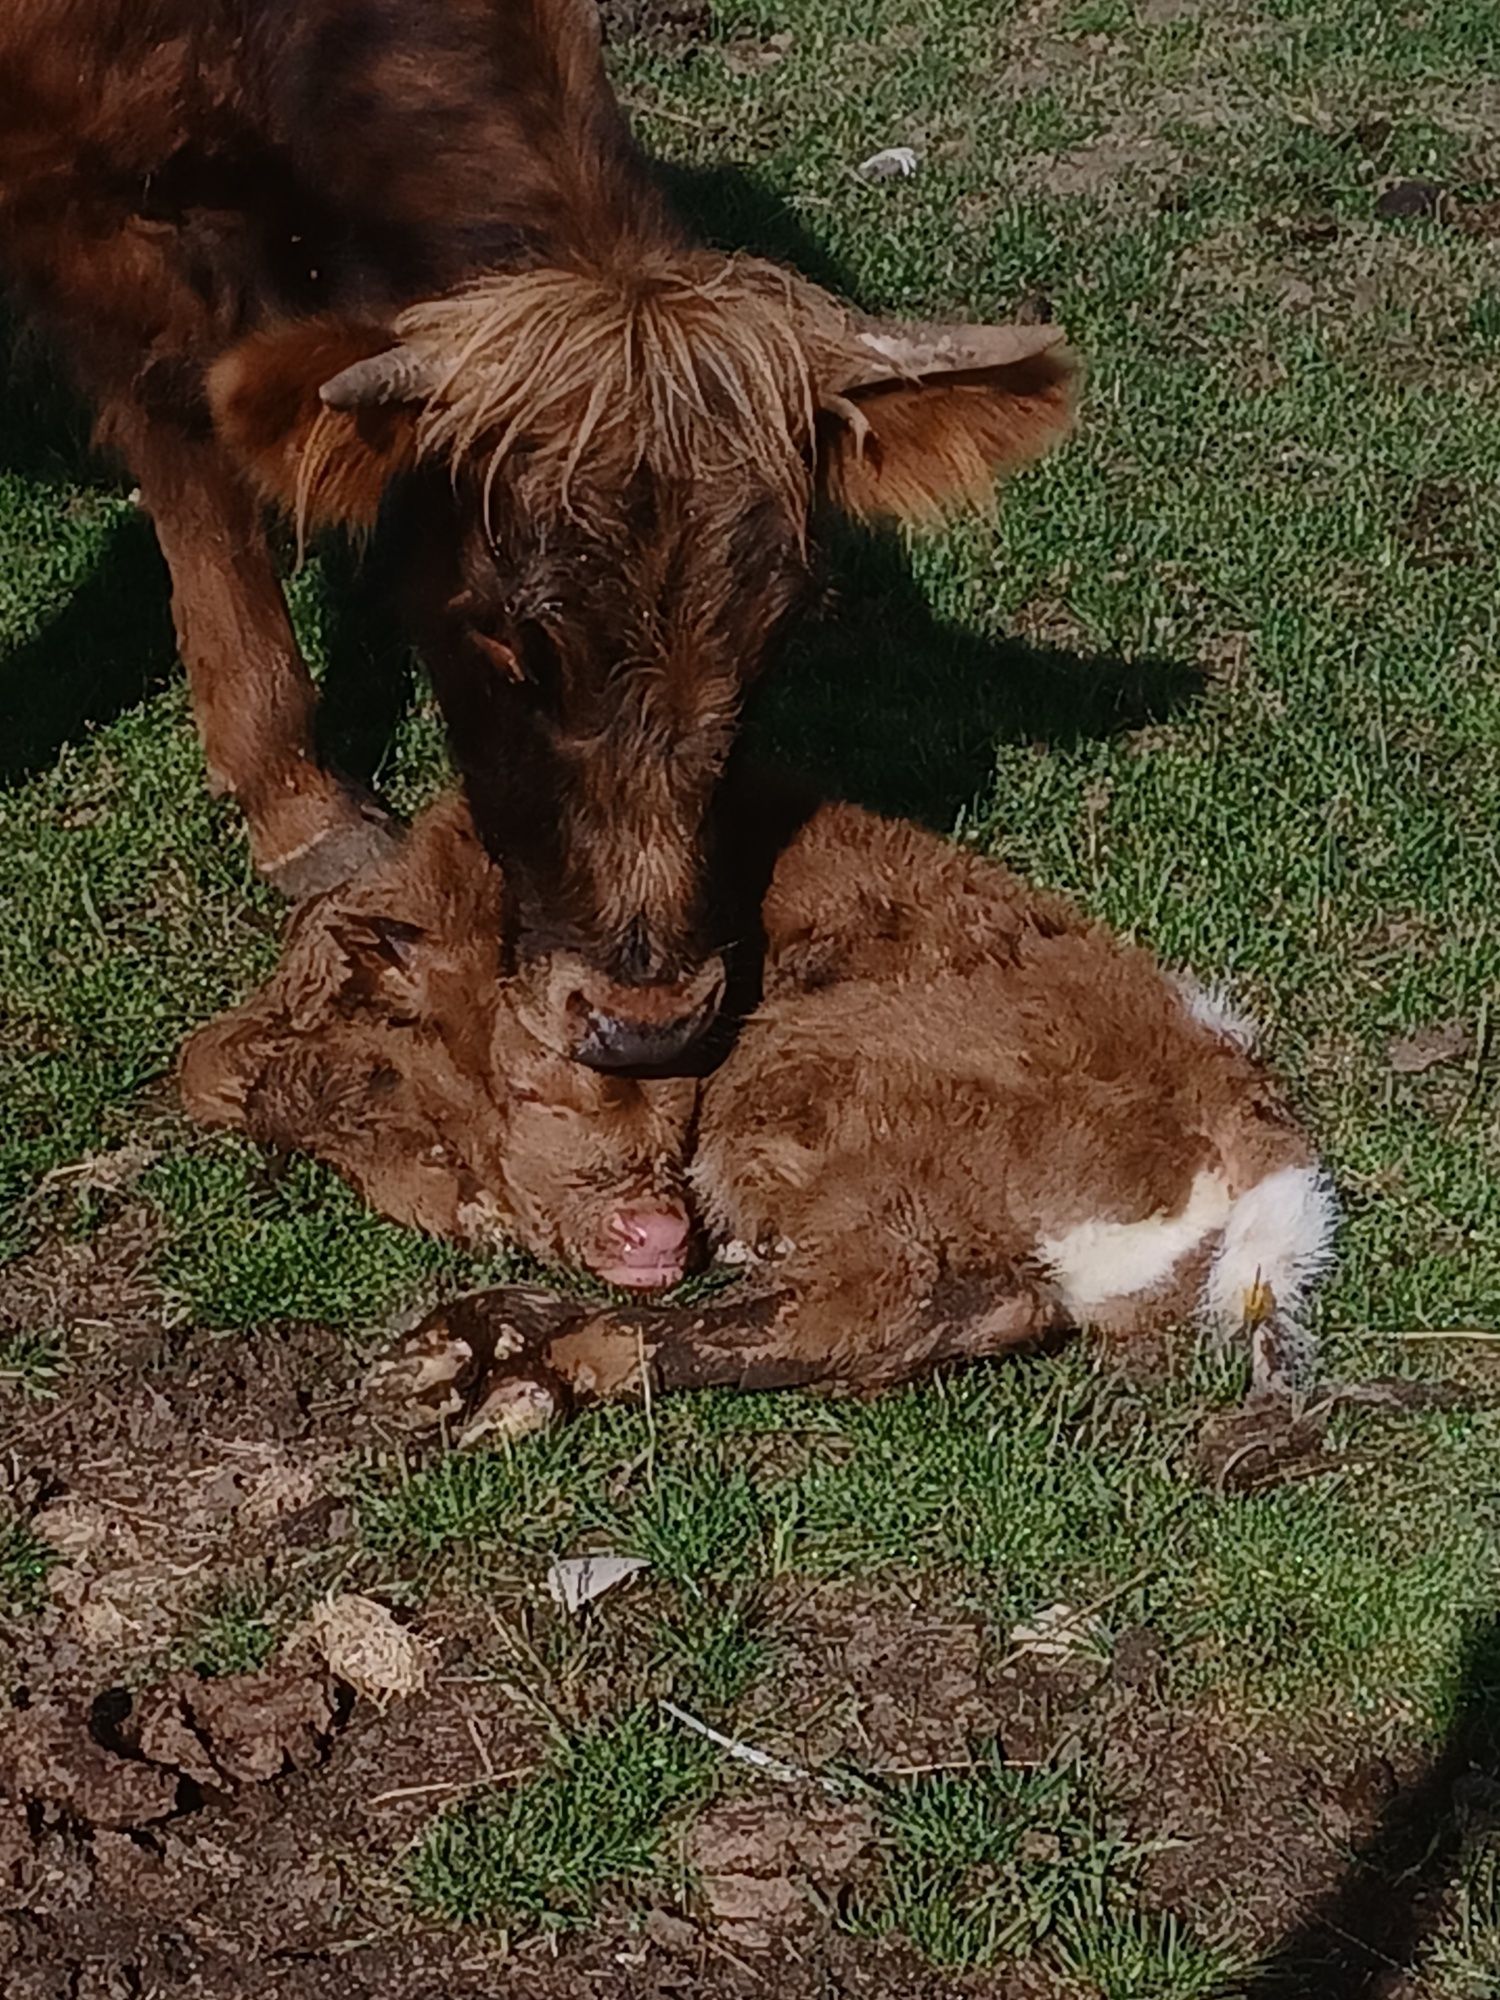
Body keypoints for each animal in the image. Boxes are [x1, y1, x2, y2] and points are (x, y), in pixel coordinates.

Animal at [2, 0, 1080, 1064]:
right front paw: (294, 796)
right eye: (509, 644)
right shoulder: (93, 215)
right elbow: (193, 456)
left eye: (771, 639)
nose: (643, 1026)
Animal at [176, 772, 1336, 1432]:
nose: (646, 1228)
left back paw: (518, 1378)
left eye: (569, 1066)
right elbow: (209, 1061)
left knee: (888, 1300)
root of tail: (1256, 1136)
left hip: (810, 1084)